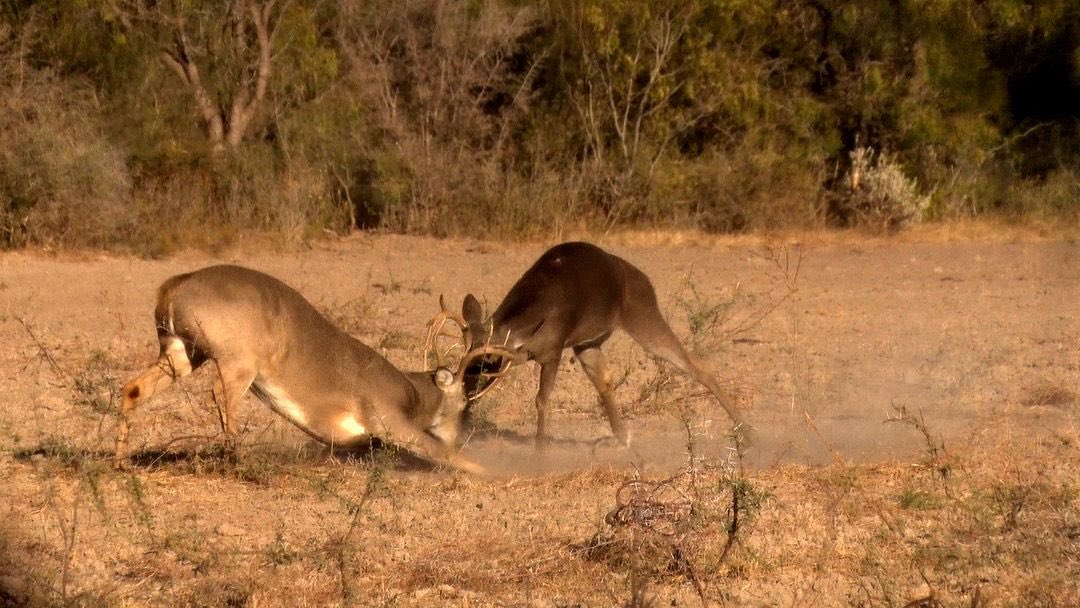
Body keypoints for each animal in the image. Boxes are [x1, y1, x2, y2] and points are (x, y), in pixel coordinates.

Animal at [115, 264, 512, 475]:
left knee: (132, 388)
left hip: (181, 350)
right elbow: (445, 455)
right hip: (236, 358)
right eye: (464, 404)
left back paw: (120, 461)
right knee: (219, 395)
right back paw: (238, 461)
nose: (460, 435)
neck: (412, 394)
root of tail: (173, 288)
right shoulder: (388, 418)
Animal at [426, 241, 747, 448]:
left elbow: (542, 400)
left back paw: (748, 433)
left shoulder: (553, 350)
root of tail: (642, 279)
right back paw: (623, 438)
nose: (467, 386)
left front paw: (539, 451)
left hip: (644, 317)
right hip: (588, 345)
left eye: (490, 360)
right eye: (468, 354)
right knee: (605, 382)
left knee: (698, 367)